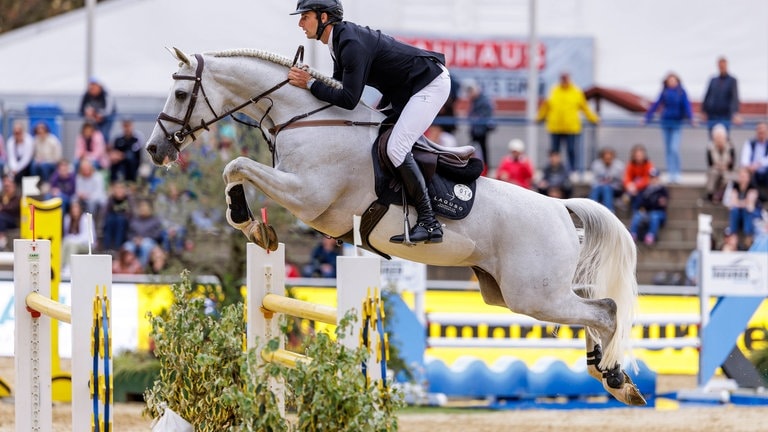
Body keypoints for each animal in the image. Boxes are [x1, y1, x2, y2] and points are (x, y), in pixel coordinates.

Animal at [146, 47, 648, 404]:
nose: (154, 150)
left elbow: (236, 165)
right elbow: (236, 169)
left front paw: (249, 223)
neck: (304, 119)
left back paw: (615, 377)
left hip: (534, 295)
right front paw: (255, 227)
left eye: (179, 94)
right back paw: (614, 376)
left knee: (605, 310)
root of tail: (561, 207)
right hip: (514, 293)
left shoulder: (307, 196)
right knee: (592, 310)